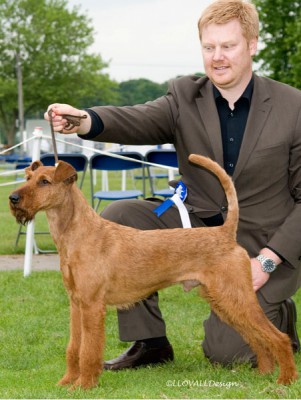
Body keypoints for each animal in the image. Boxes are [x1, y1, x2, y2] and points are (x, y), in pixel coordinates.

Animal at [8, 155, 296, 390]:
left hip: (236, 297)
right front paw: (66, 382)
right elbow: (73, 348)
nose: (13, 198)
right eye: (28, 178)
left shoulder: (91, 306)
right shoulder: (76, 304)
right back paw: (264, 374)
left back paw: (285, 380)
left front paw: (84, 386)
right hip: (225, 301)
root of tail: (225, 232)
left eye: (45, 182)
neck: (77, 234)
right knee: (257, 339)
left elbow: (89, 351)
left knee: (277, 337)